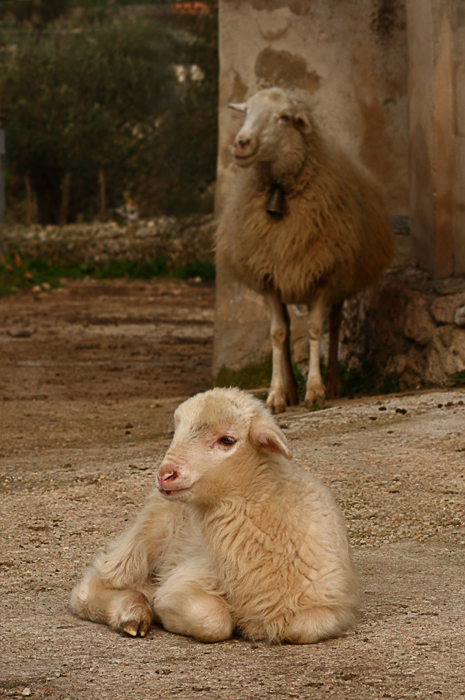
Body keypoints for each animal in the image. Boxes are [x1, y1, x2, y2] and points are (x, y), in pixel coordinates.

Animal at [70, 386, 358, 644]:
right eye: (177, 431)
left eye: (227, 440)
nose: (165, 474)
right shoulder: (187, 579)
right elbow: (212, 621)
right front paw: (159, 608)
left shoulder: (332, 603)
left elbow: (303, 628)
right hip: (147, 532)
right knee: (93, 586)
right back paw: (132, 612)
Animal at [216, 86, 394, 410]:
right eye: (246, 111)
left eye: (285, 117)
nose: (241, 142)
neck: (281, 191)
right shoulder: (269, 276)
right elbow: (277, 334)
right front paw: (276, 394)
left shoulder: (323, 273)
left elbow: (314, 328)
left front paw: (315, 389)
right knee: (287, 329)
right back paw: (290, 390)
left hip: (341, 283)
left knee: (334, 325)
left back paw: (333, 383)